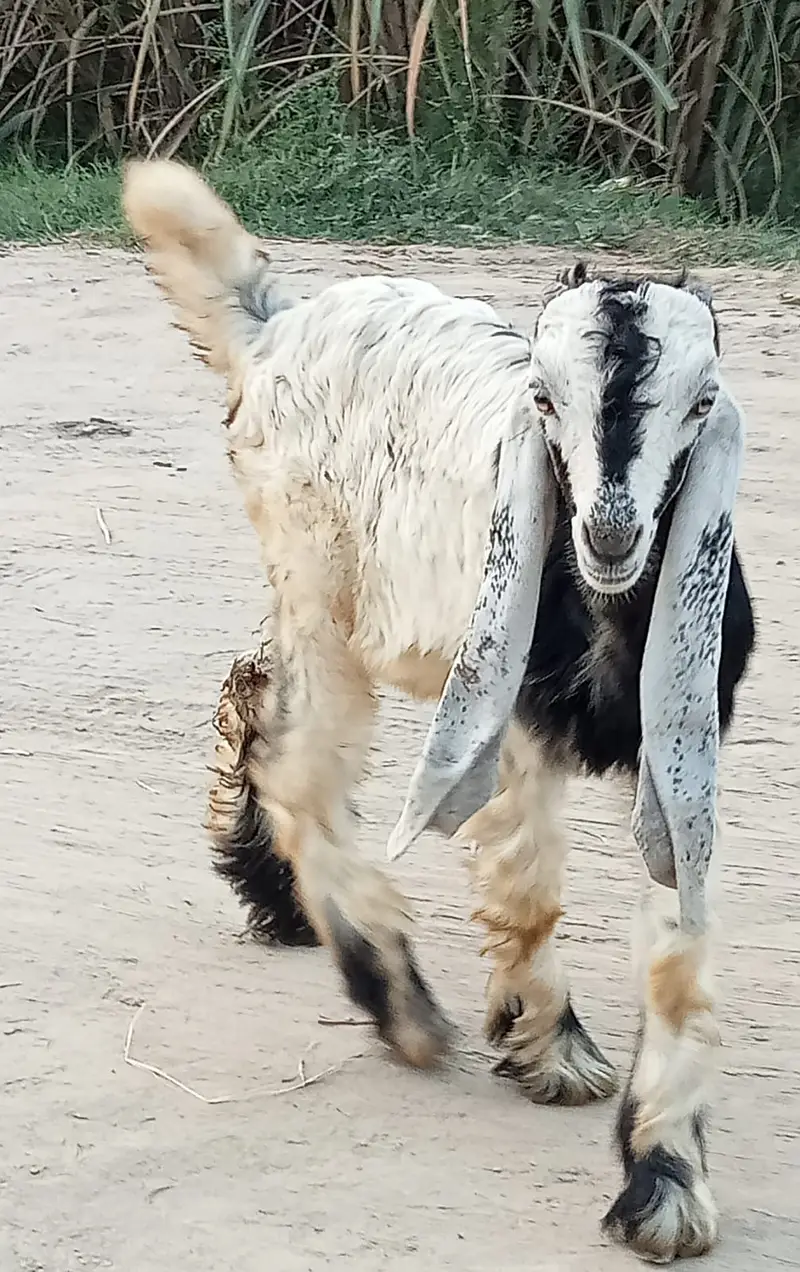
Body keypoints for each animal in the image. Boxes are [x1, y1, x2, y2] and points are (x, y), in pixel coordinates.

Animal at [123, 159, 755, 1264]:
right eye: (542, 397)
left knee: (253, 691)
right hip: (318, 579)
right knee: (300, 765)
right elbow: (528, 890)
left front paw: (666, 1184)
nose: (609, 533)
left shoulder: (683, 750)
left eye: (703, 399)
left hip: (308, 597)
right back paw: (394, 995)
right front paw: (550, 1048)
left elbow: (677, 957)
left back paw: (276, 898)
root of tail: (276, 322)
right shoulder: (516, 732)